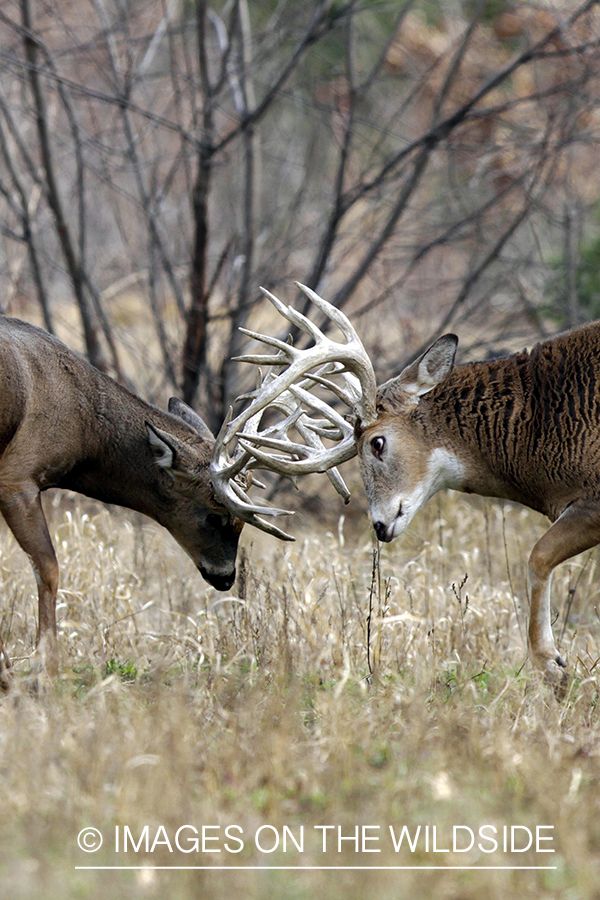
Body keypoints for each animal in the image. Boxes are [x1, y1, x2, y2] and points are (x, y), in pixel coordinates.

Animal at [0, 314, 296, 676]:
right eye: (215, 516)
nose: (226, 578)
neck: (82, 425)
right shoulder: (16, 476)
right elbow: (48, 567)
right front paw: (42, 667)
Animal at [236, 284, 600, 684]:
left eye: (377, 443)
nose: (379, 526)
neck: (537, 421)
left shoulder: (592, 497)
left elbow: (537, 557)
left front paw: (552, 665)